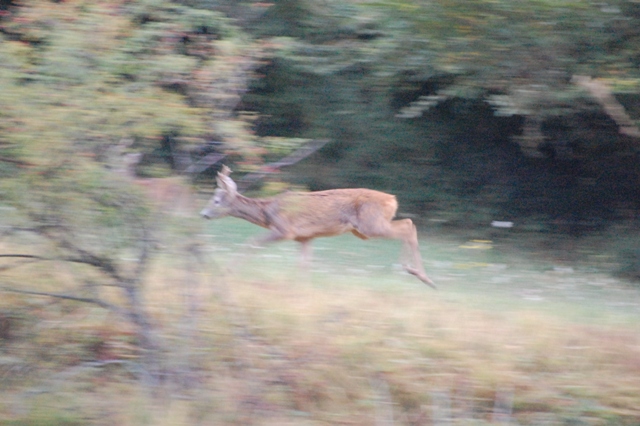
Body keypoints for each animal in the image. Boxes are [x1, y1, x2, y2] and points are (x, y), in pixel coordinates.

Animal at [201, 165, 436, 288]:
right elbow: (304, 264)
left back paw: (419, 275)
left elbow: (252, 242)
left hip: (369, 225)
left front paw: (227, 271)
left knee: (407, 226)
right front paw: (303, 288)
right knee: (407, 224)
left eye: (216, 201)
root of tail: (392, 200)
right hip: (365, 228)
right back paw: (416, 273)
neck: (267, 213)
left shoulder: (285, 230)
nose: (203, 214)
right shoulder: (305, 237)